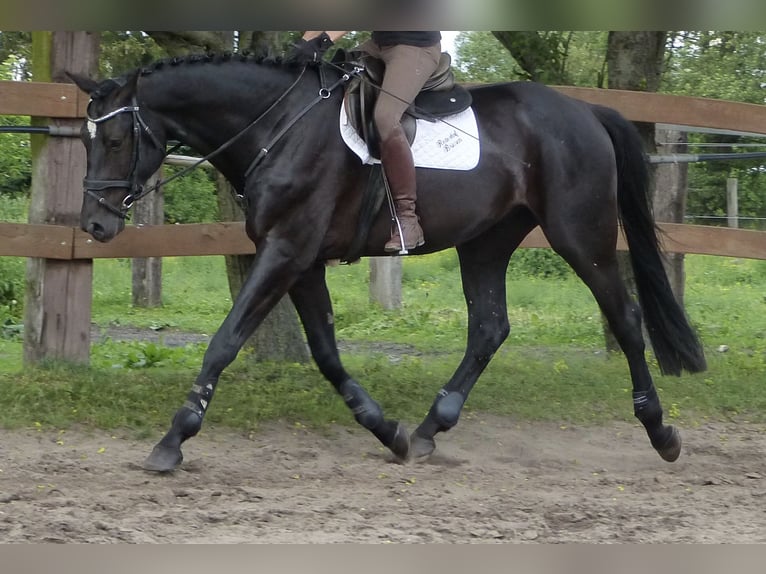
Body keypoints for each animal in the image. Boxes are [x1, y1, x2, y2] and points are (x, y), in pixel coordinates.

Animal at [67, 53, 708, 472]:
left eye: (117, 140)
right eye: (86, 142)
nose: (95, 226)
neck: (279, 127)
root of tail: (584, 110)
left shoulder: (286, 250)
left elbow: (224, 342)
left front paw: (172, 440)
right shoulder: (303, 260)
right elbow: (326, 354)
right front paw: (387, 431)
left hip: (580, 235)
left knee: (625, 319)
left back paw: (661, 433)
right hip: (486, 242)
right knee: (489, 328)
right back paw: (427, 430)